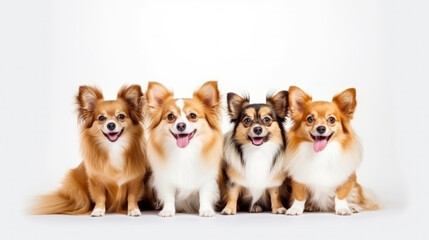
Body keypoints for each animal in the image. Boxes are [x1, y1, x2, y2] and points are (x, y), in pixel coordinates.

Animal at [31, 85, 147, 217]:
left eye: (121, 116)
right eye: (101, 118)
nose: (111, 125)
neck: (114, 147)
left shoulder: (134, 181)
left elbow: (132, 197)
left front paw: (133, 210)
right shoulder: (96, 181)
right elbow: (100, 197)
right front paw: (98, 210)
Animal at [145, 81, 222, 218]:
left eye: (192, 116)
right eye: (170, 116)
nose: (181, 125)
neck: (184, 151)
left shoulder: (207, 178)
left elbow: (204, 194)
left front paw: (206, 210)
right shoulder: (166, 179)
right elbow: (169, 195)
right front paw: (168, 210)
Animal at [284, 86, 378, 216]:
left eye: (331, 119)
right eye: (310, 119)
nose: (321, 128)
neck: (322, 153)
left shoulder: (345, 179)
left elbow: (341, 196)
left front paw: (343, 208)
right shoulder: (299, 179)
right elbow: (300, 196)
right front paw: (296, 209)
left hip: (355, 188)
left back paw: (353, 207)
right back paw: (311, 206)